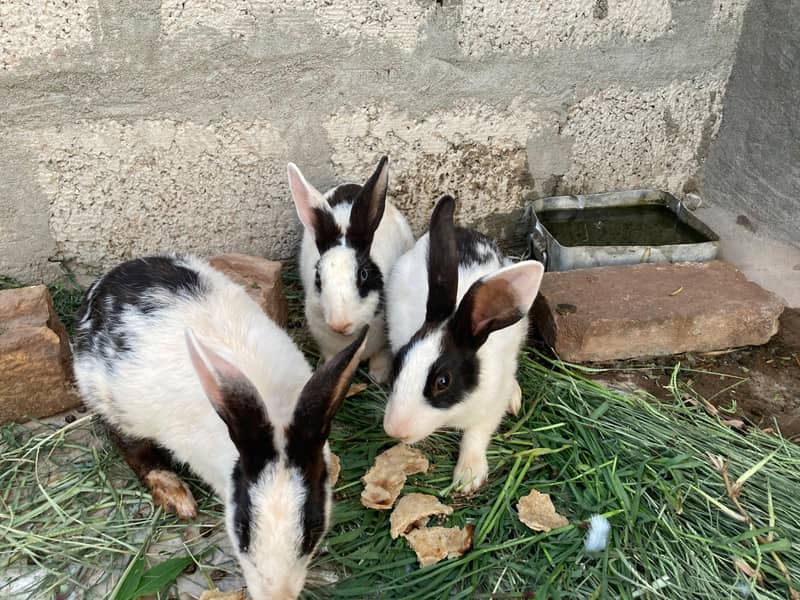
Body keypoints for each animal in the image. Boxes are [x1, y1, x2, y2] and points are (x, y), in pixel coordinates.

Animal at [72, 254, 367, 600]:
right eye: (242, 530)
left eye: (311, 530)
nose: (275, 595)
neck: (275, 415)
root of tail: (102, 285)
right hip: (114, 403)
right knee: (128, 445)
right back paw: (177, 496)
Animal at [287, 156, 414, 383]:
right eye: (318, 277)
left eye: (363, 274)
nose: (340, 324)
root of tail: (349, 185)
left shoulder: (384, 344)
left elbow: (382, 357)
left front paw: (378, 377)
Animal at [384, 196, 544, 494]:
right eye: (398, 363)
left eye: (442, 382)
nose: (395, 430)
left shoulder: (489, 408)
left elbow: (476, 436)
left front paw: (468, 477)